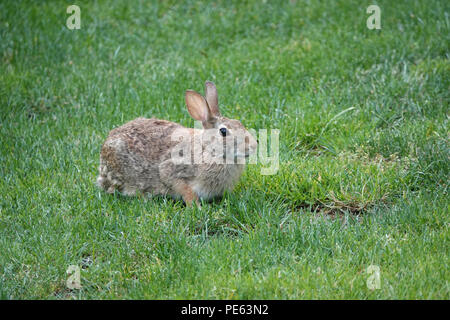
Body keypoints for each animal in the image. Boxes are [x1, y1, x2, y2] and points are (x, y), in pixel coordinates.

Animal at [96, 81, 258, 206]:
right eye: (223, 131)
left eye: (239, 122)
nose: (253, 146)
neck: (209, 150)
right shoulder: (173, 171)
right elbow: (185, 190)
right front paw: (196, 207)